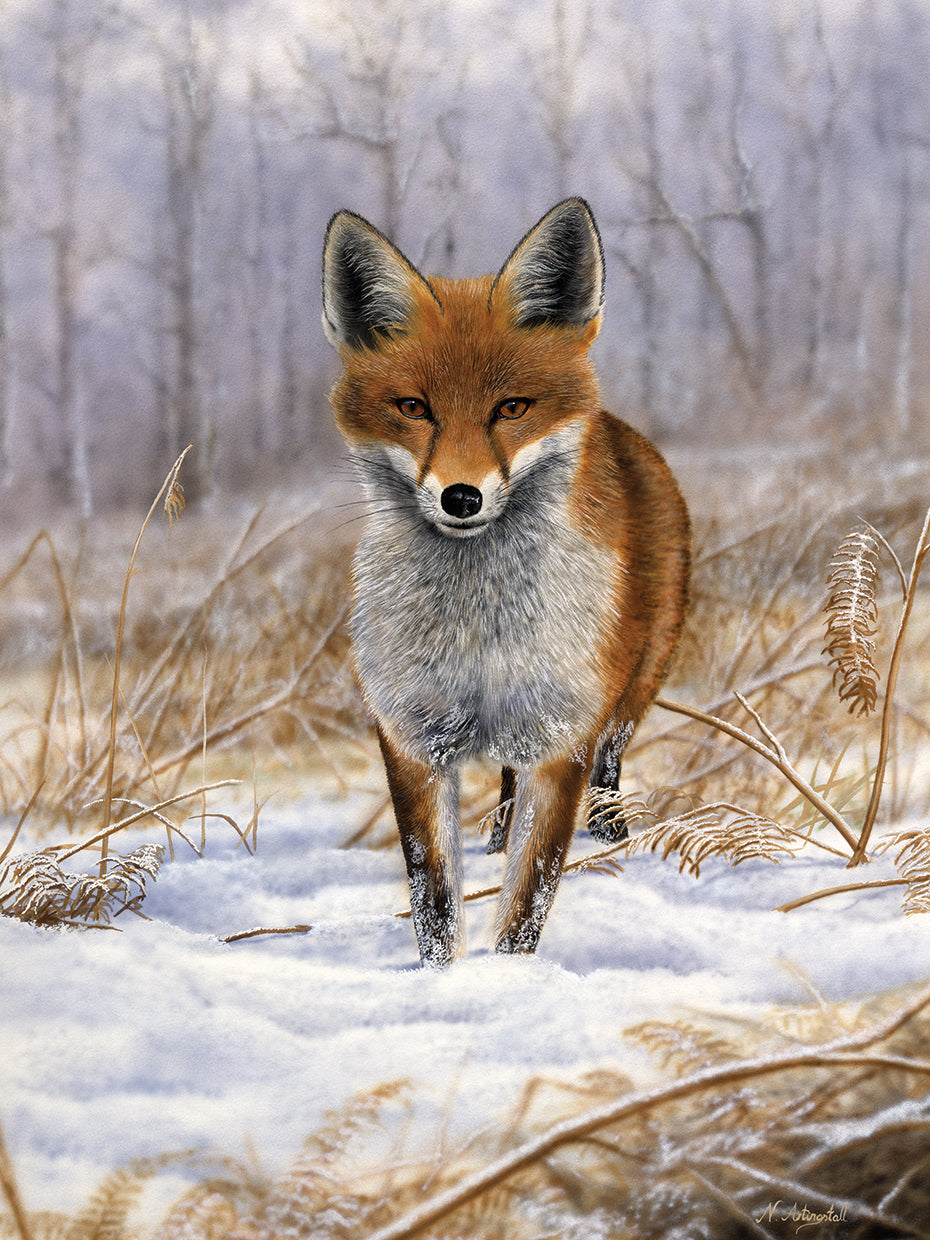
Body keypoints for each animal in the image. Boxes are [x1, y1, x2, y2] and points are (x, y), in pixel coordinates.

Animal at [321, 197, 690, 967]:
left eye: (511, 408)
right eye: (414, 407)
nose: (461, 497)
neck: (478, 632)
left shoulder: (562, 737)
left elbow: (528, 899)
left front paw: (509, 977)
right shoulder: (412, 737)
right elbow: (434, 898)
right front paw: (442, 979)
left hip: (632, 691)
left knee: (609, 773)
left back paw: (615, 842)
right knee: (505, 793)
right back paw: (494, 842)